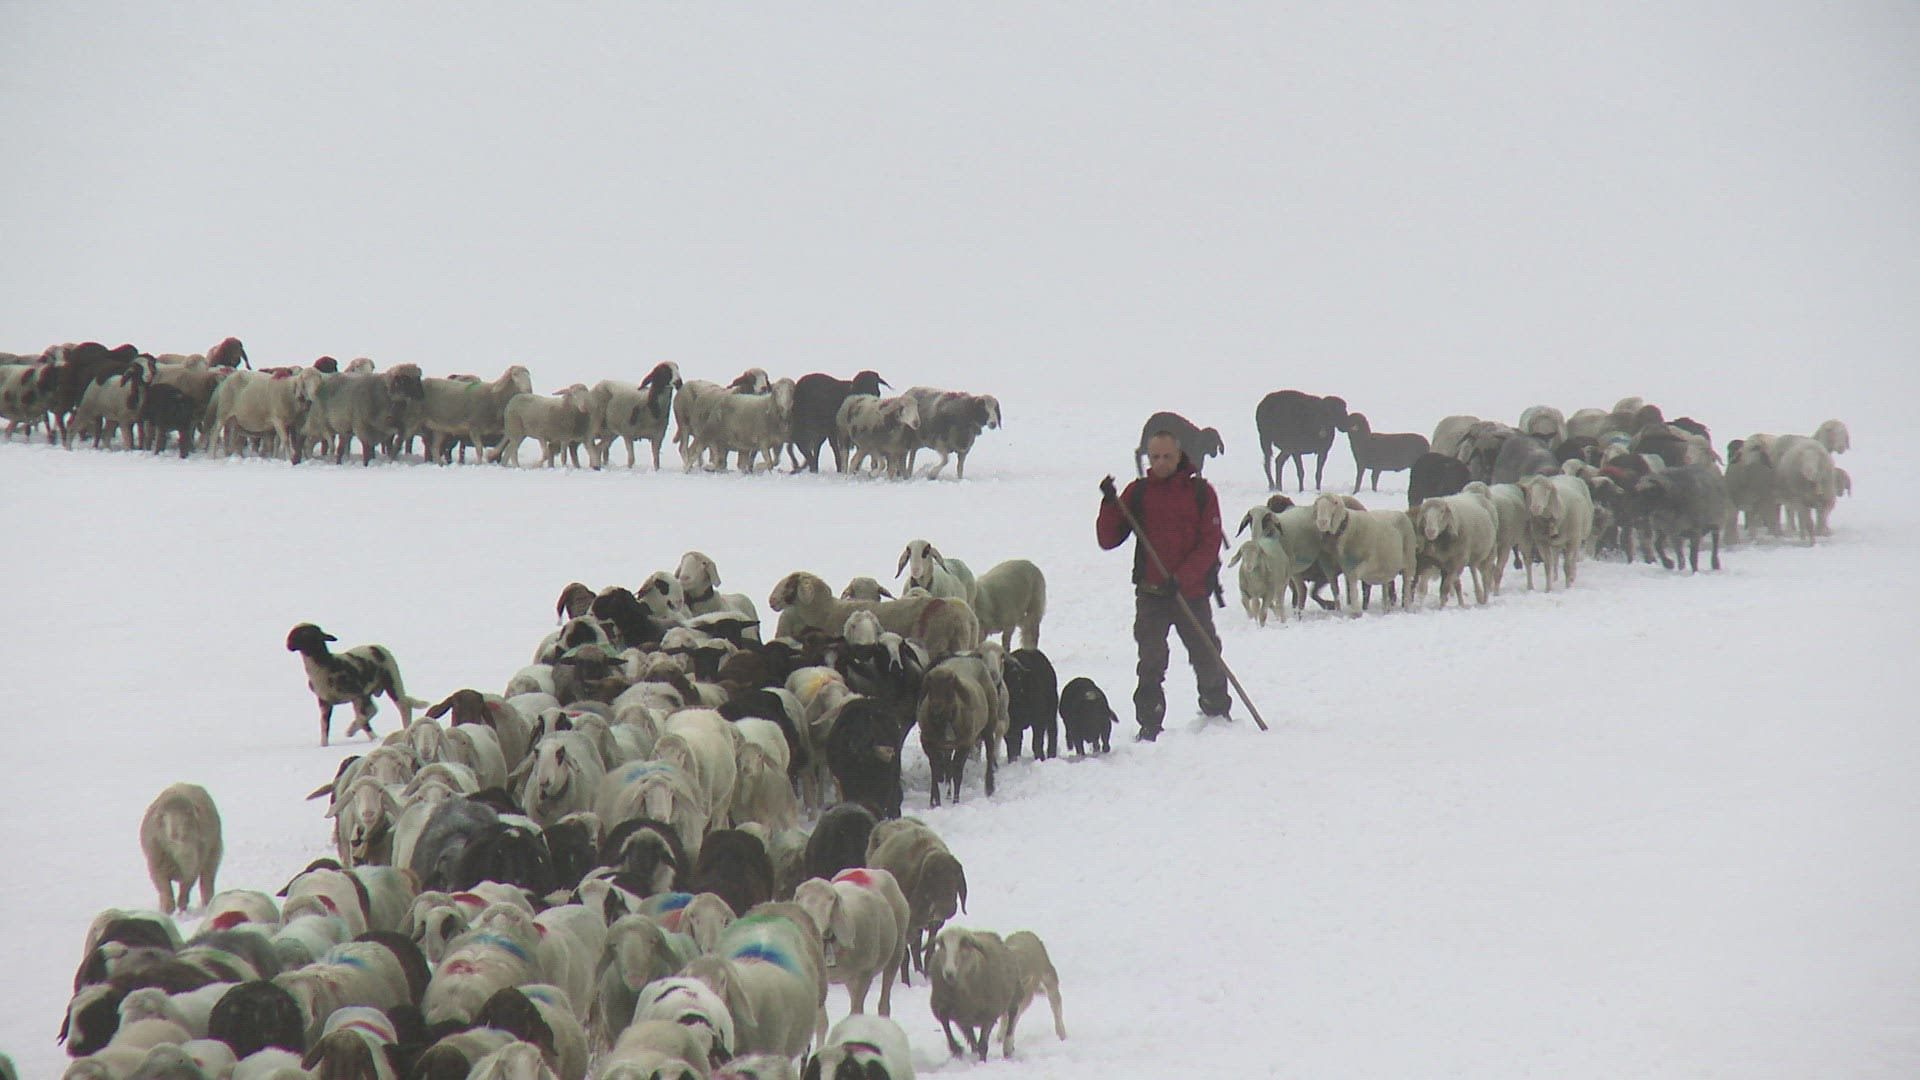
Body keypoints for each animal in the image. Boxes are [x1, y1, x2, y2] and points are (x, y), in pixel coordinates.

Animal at [140, 783, 222, 915]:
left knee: (206, 883)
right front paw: (167, 910)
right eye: (164, 815)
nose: (175, 834)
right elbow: (165, 891)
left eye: (188, 814)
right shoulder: (157, 868)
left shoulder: (193, 867)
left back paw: (207, 905)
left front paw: (181, 909)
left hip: (212, 855)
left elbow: (185, 891)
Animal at [286, 623, 429, 746]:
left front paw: (351, 732)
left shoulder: (357, 693)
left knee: (402, 706)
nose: (288, 645)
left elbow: (363, 717)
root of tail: (375, 646)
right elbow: (324, 726)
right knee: (373, 710)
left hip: (392, 679)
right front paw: (324, 745)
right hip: (369, 691)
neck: (326, 666)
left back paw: (403, 728)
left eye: (305, 633)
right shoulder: (324, 701)